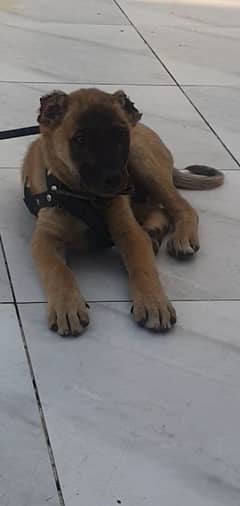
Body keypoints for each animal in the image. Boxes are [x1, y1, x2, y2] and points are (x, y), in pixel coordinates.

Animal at [21, 88, 224, 336]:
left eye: (120, 135)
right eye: (80, 140)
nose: (114, 179)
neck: (88, 199)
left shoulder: (128, 229)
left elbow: (142, 265)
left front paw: (154, 302)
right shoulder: (45, 238)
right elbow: (58, 270)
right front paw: (67, 306)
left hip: (141, 162)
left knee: (181, 207)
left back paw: (180, 237)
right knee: (158, 209)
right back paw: (154, 232)